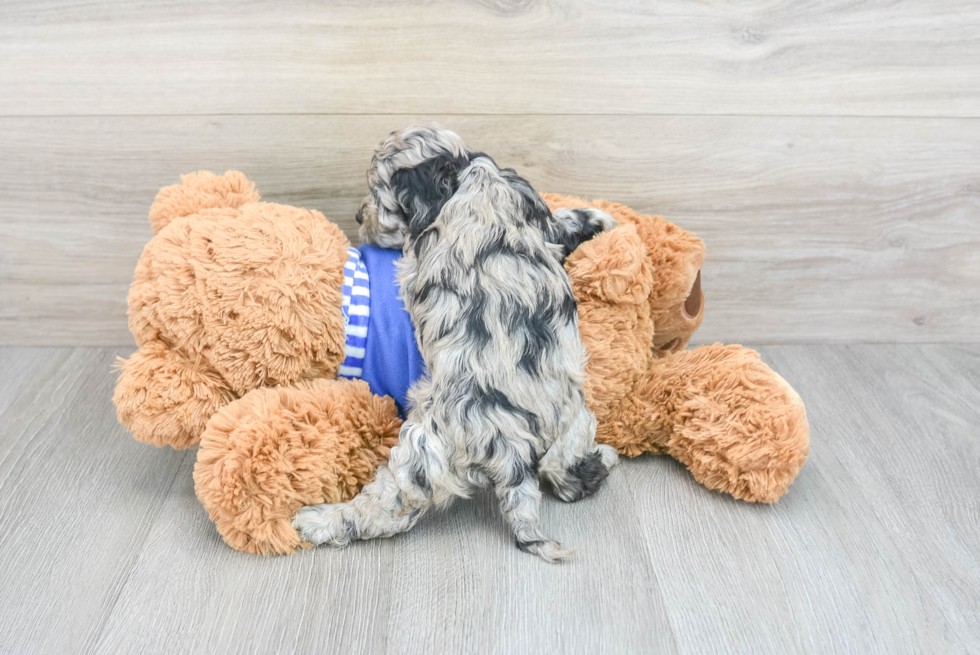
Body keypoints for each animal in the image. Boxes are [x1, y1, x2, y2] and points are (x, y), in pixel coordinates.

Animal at [290, 125, 620, 560]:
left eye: (379, 193)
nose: (360, 217)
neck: (463, 173)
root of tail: (514, 454)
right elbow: (560, 222)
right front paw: (600, 219)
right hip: (575, 421)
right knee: (567, 477)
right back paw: (604, 459)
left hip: (423, 454)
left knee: (386, 510)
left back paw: (321, 520)